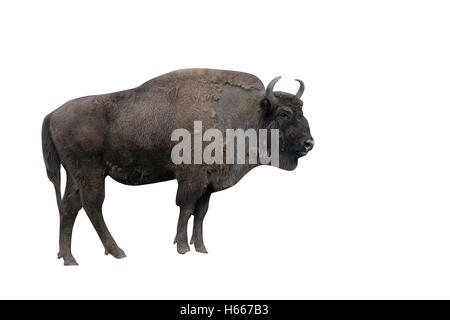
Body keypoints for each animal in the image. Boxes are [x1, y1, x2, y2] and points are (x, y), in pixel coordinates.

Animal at [43, 69, 312, 264]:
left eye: (302, 110)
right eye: (284, 113)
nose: (309, 143)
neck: (244, 113)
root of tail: (53, 113)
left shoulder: (208, 184)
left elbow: (200, 213)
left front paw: (201, 248)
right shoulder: (191, 178)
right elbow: (185, 208)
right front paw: (182, 247)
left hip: (75, 176)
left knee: (69, 208)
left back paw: (69, 258)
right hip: (92, 173)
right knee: (92, 207)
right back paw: (117, 251)